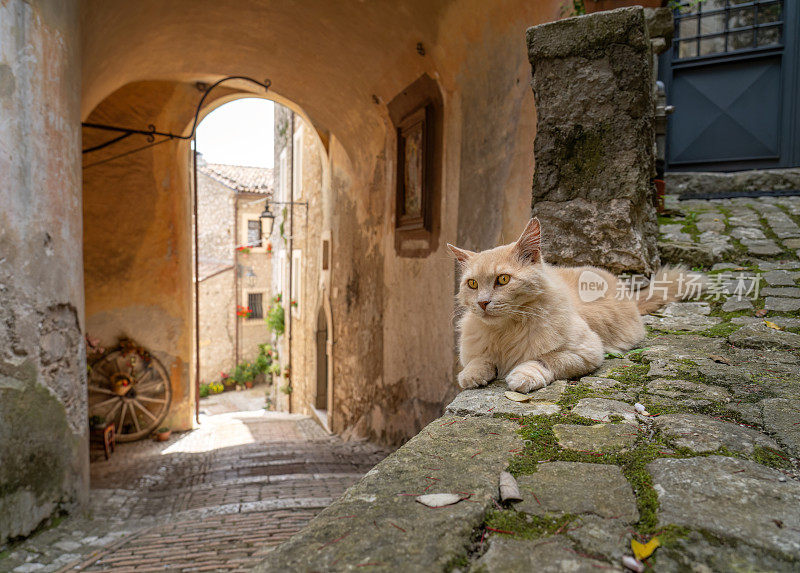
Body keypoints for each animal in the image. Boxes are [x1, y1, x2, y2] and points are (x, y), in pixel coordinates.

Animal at [450, 217, 688, 392]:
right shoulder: (476, 350)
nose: (482, 302)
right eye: (472, 284)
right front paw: (471, 374)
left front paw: (523, 376)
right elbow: (480, 360)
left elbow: (544, 359)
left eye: (503, 279)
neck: (506, 331)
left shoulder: (587, 351)